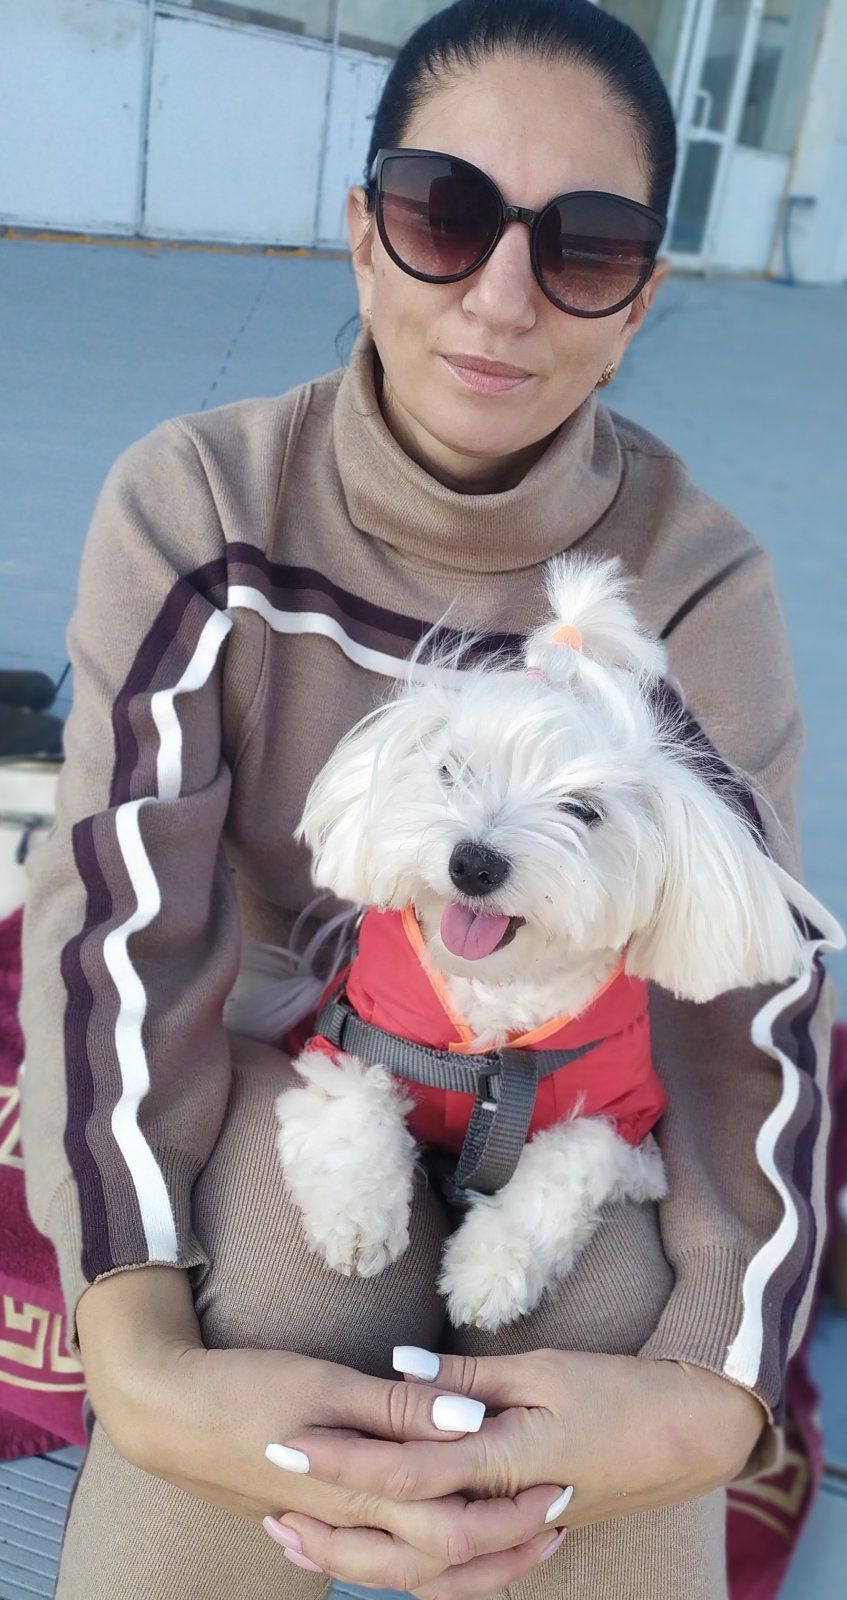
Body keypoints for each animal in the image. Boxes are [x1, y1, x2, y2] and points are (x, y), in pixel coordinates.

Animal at [274, 554, 811, 1332]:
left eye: (582, 810)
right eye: (452, 771)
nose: (474, 862)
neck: (495, 1024)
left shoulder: (619, 1109)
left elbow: (559, 1173)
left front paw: (489, 1270)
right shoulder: (353, 1037)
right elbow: (353, 1113)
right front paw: (357, 1218)